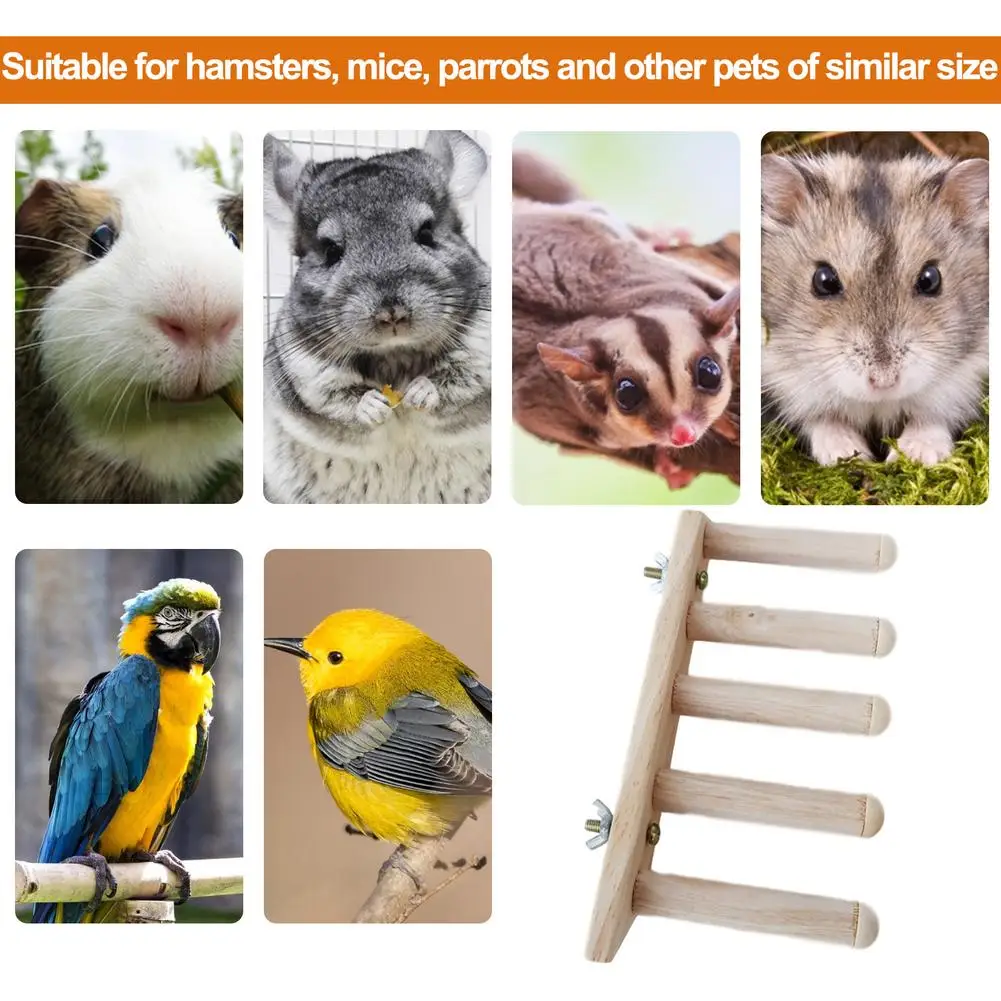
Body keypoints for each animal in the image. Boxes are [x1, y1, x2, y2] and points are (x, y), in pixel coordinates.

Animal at [263, 130, 491, 504]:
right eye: (331, 250)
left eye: (426, 233)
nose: (391, 313)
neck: (395, 355)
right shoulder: (306, 372)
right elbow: (337, 399)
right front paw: (373, 405)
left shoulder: (481, 355)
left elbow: (456, 383)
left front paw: (419, 393)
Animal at [761, 151, 988, 466]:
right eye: (824, 280)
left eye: (931, 279)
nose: (884, 382)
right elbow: (822, 418)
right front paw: (848, 454)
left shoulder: (963, 379)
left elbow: (932, 417)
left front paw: (915, 456)